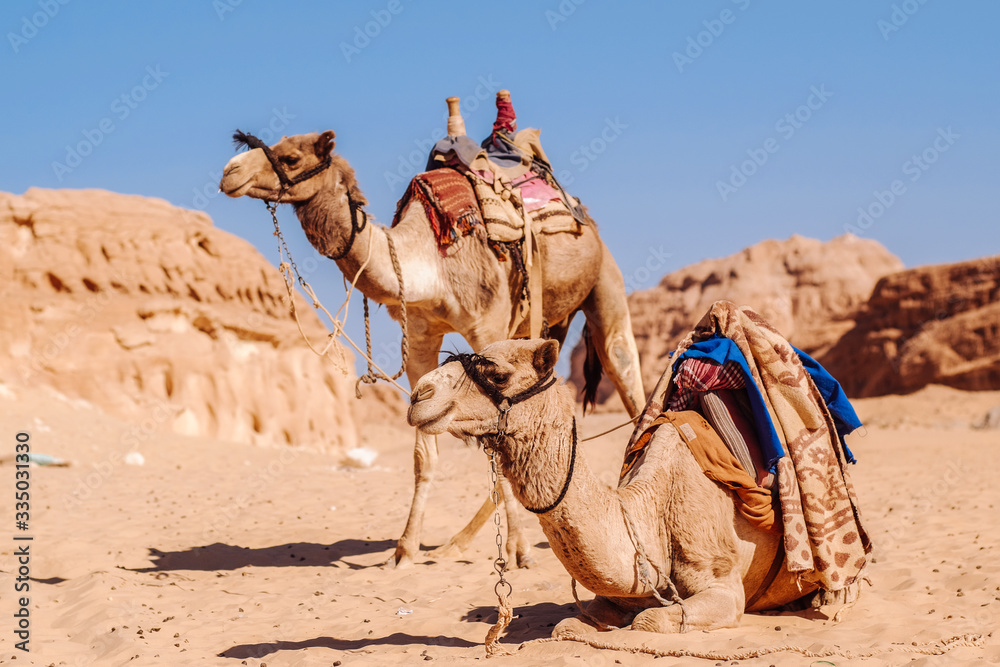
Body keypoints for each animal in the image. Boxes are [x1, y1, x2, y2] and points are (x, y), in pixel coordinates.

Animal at [219, 129, 645, 568]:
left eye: (291, 157)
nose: (230, 172)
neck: (428, 265)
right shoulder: (420, 340)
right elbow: (425, 454)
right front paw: (404, 550)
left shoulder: (488, 326)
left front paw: (518, 550)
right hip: (547, 321)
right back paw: (454, 542)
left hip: (604, 282)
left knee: (626, 374)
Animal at [407, 338, 816, 634]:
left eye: (498, 375)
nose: (418, 395)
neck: (654, 510)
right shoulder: (621, 592)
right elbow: (569, 624)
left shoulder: (724, 588)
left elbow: (648, 620)